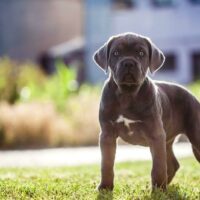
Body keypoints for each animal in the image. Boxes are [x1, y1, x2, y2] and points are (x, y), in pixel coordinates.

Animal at [93, 32, 200, 191]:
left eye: (141, 53)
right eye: (116, 53)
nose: (128, 63)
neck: (127, 93)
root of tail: (192, 95)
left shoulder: (155, 134)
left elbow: (158, 166)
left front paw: (158, 189)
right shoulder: (107, 134)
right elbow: (106, 163)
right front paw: (105, 187)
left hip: (194, 135)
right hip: (167, 140)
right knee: (173, 164)